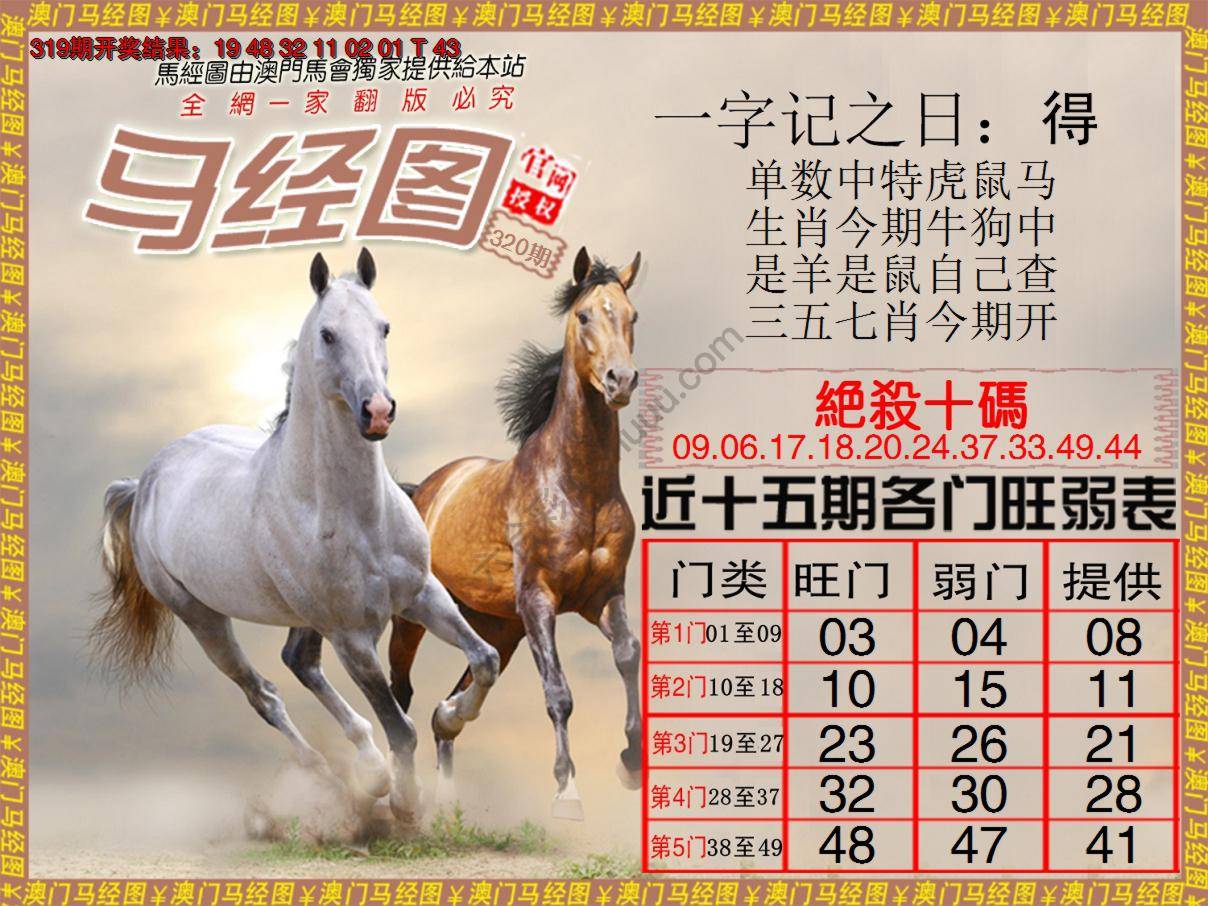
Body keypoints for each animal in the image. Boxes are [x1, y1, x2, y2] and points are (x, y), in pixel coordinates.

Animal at [94, 249, 500, 822]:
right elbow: (400, 726)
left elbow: (484, 660)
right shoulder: (352, 637)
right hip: (203, 618)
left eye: (385, 327)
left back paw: (367, 770)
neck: (356, 515)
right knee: (263, 693)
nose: (377, 411)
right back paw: (341, 779)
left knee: (299, 662)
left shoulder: (421, 594)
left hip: (305, 617)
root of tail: (145, 480)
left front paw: (449, 717)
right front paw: (405, 802)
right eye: (328, 334)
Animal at [386, 246, 643, 820]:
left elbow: (628, 656)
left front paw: (631, 762)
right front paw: (567, 792)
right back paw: (401, 792)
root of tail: (423, 489)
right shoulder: (539, 600)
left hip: (498, 624)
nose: (620, 380)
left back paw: (449, 765)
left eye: (632, 316)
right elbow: (559, 692)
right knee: (400, 692)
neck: (578, 486)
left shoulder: (603, 596)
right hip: (416, 618)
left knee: (455, 700)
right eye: (584, 316)